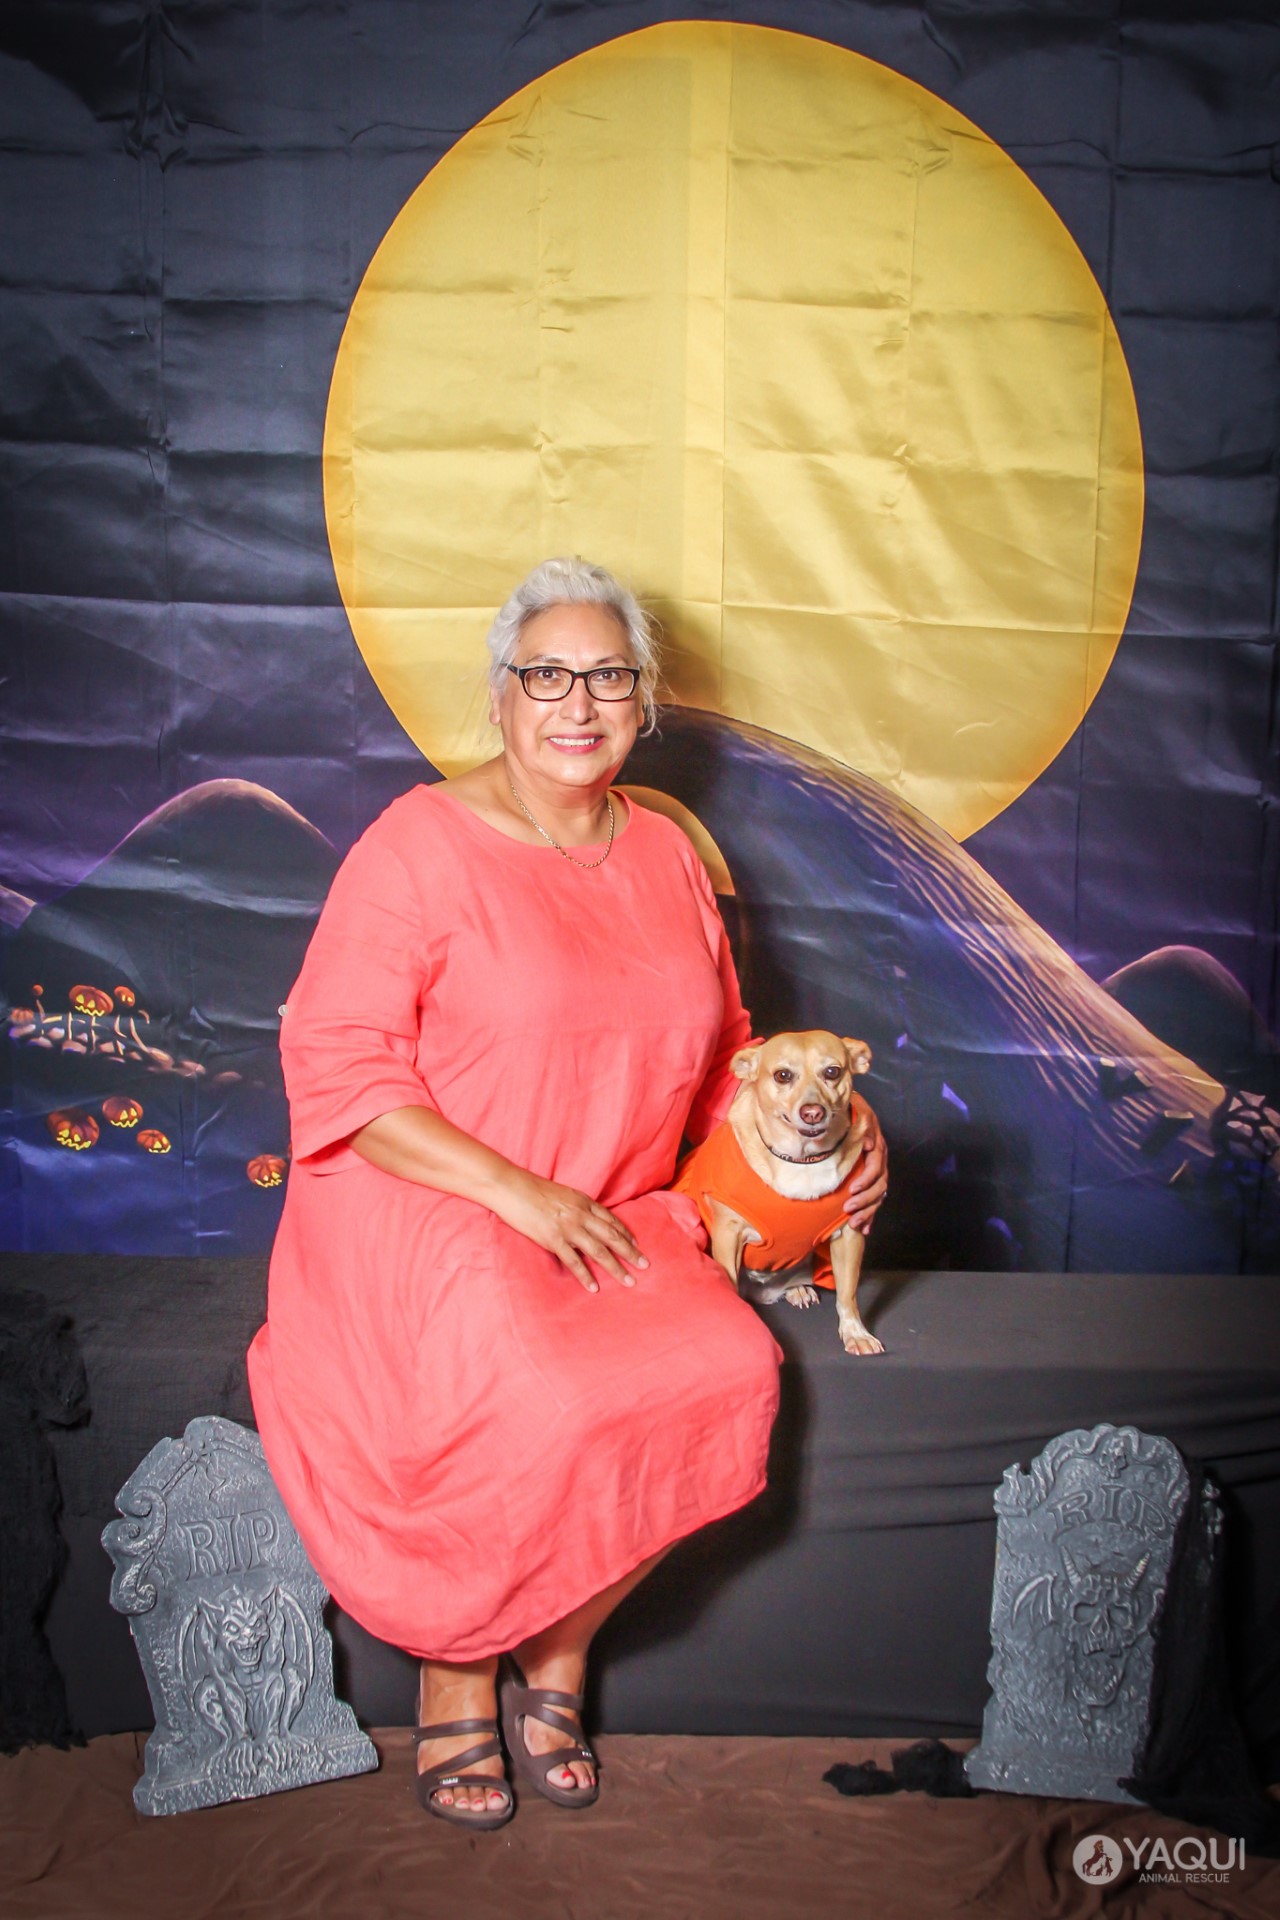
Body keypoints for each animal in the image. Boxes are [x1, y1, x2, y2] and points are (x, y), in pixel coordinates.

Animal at [673, 1031, 883, 1355]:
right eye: (782, 1075)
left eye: (832, 1072)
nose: (813, 1112)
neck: (802, 1160)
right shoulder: (728, 1234)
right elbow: (729, 1278)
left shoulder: (850, 1234)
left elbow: (847, 1293)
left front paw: (855, 1332)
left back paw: (796, 1289)